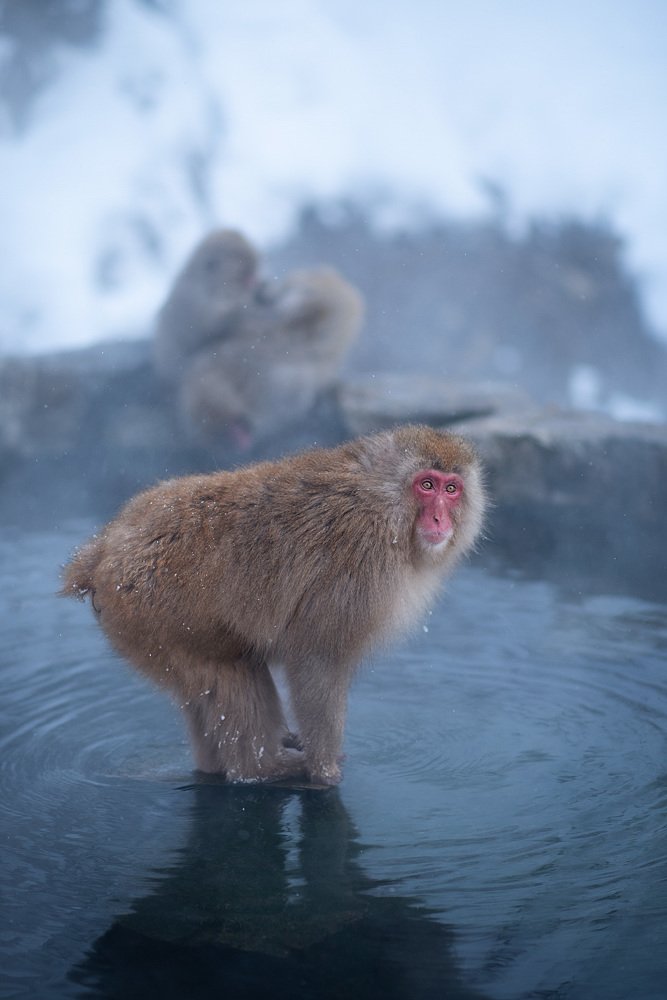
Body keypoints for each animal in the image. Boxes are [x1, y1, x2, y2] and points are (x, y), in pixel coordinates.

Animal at [61, 425, 486, 786]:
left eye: (452, 489)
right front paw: (324, 771)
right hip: (153, 613)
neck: (384, 504)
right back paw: (261, 770)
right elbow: (317, 658)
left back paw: (215, 767)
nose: (439, 518)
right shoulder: (359, 565)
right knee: (231, 673)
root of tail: (104, 550)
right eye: (426, 485)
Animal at [154, 229, 260, 380]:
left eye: (249, 250)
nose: (254, 260)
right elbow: (214, 324)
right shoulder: (198, 303)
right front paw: (242, 298)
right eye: (237, 256)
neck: (212, 284)